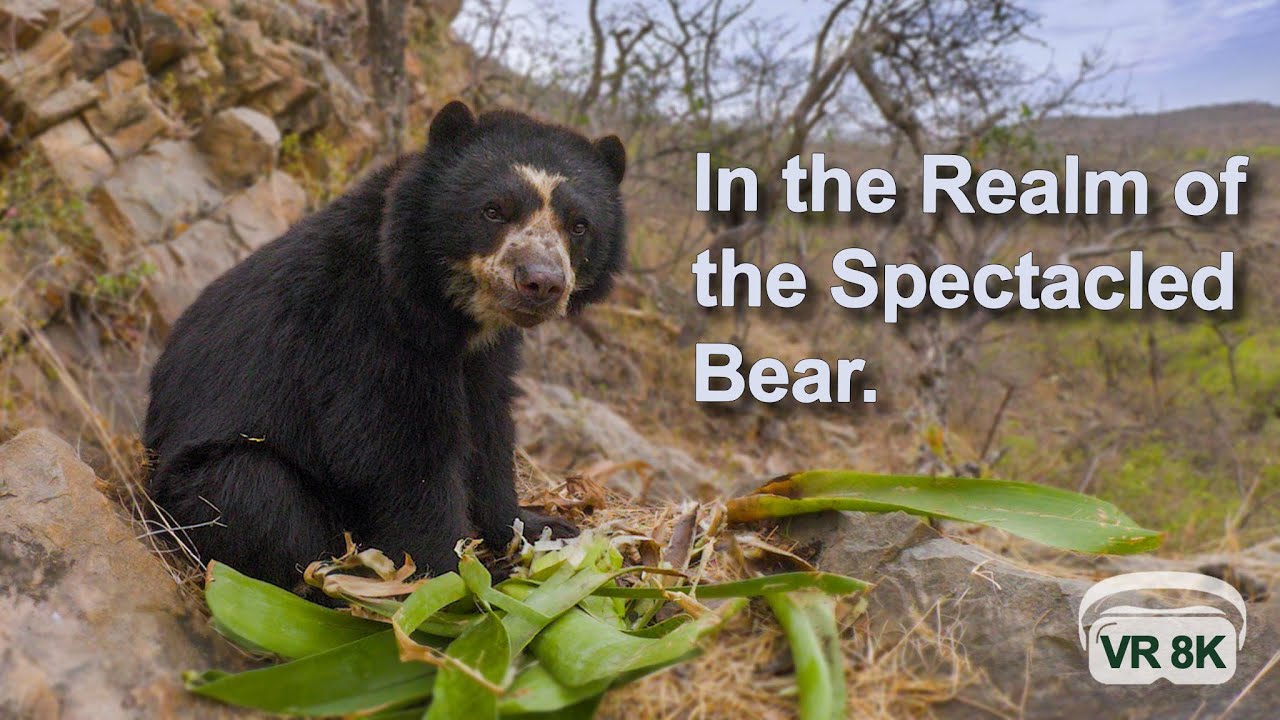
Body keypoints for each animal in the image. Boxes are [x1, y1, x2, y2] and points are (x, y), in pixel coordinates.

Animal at [143, 101, 627, 590]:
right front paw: (455, 580)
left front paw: (543, 528)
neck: (451, 312)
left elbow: (489, 429)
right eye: (494, 210)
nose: (540, 282)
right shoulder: (358, 329)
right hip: (194, 485)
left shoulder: (486, 356)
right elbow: (395, 451)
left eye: (579, 226)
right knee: (253, 490)